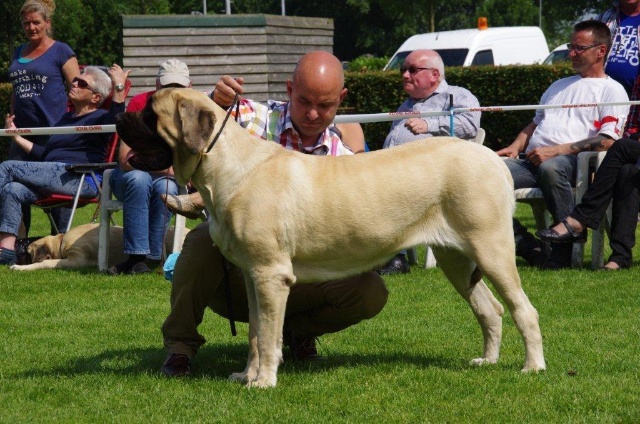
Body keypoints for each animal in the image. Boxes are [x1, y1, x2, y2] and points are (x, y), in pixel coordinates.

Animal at [116, 88, 544, 388]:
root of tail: (490, 156)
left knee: (524, 309)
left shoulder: (270, 274)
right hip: (456, 260)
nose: (119, 116)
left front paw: (264, 381)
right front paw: (247, 375)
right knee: (489, 309)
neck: (227, 165)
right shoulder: (255, 277)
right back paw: (488, 361)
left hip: (491, 248)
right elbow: (255, 331)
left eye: (150, 113)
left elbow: (267, 335)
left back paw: (533, 366)